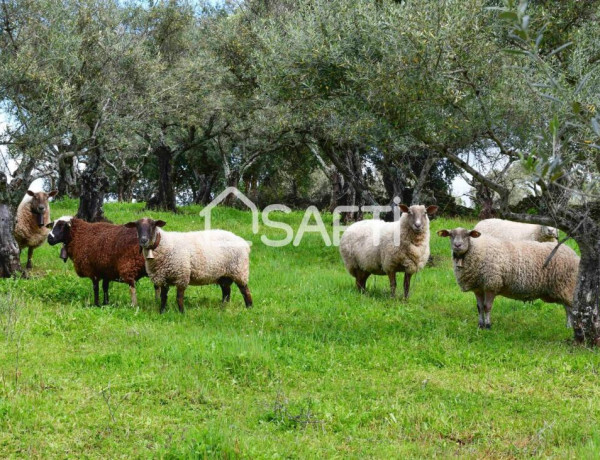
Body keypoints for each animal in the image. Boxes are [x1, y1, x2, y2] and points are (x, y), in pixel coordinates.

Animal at [436, 227, 580, 328]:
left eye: (467, 235)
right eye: (450, 235)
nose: (457, 245)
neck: (476, 250)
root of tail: (574, 254)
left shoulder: (491, 284)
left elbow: (487, 307)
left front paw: (488, 326)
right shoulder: (478, 287)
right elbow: (479, 307)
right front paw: (480, 325)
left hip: (567, 285)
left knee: (571, 308)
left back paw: (571, 327)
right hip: (562, 288)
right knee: (568, 308)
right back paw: (568, 326)